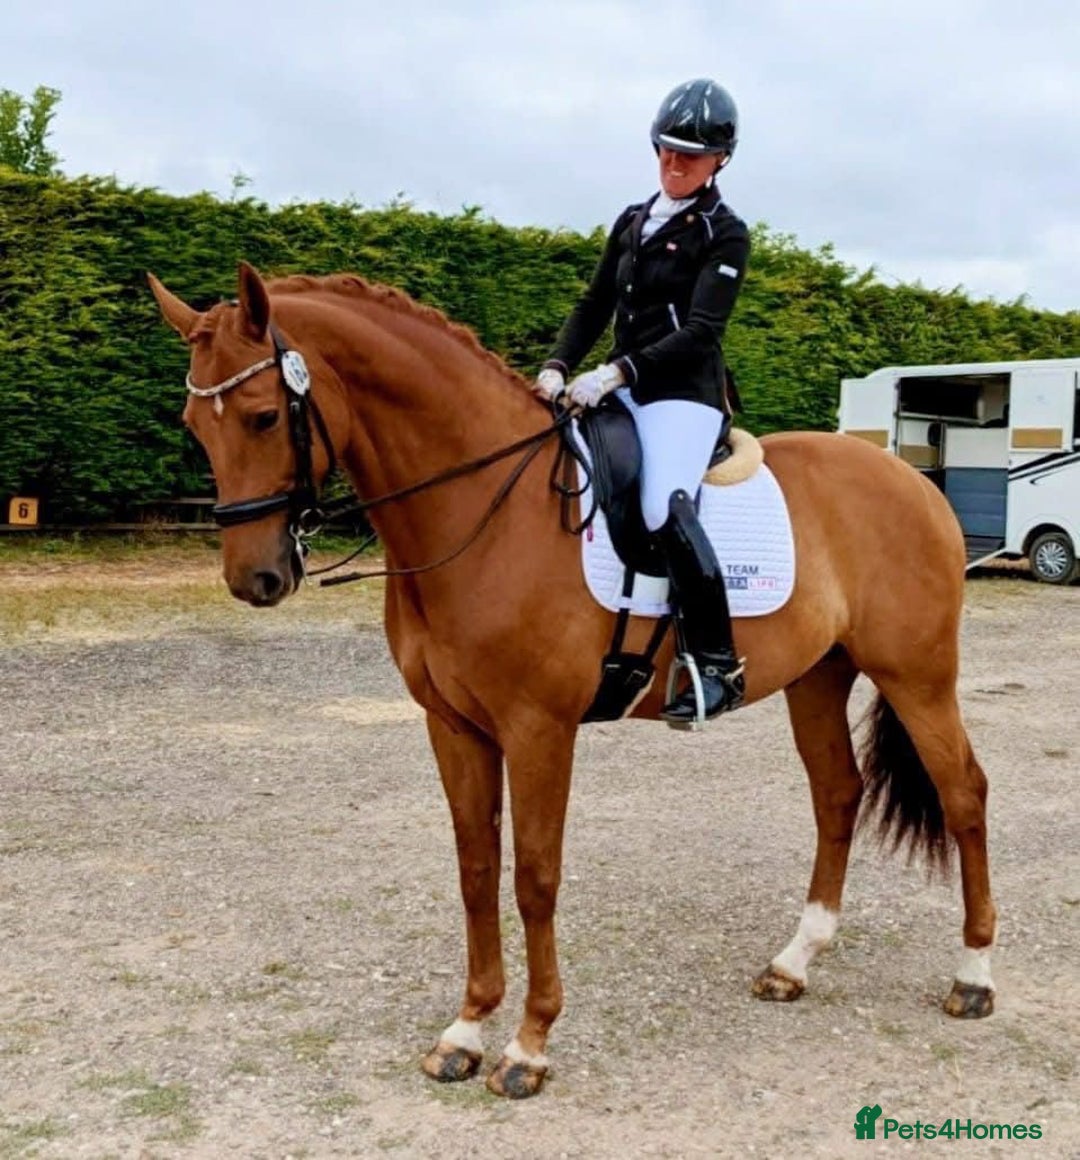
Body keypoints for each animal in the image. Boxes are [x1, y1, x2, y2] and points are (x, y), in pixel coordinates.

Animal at [148, 262, 996, 1100]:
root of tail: (910, 479)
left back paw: (973, 977)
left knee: (963, 794)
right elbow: (476, 869)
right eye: (196, 427)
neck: (484, 513)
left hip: (918, 675)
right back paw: (794, 963)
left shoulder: (538, 729)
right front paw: (465, 1031)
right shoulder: (452, 725)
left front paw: (528, 1047)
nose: (254, 579)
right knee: (837, 794)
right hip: (819, 676)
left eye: (263, 417)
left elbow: (535, 878)